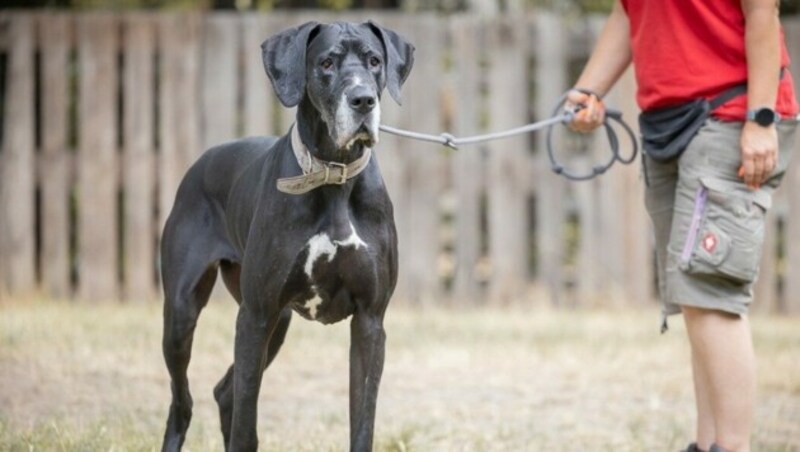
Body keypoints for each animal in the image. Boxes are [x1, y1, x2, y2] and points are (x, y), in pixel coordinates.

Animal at [160, 21, 416, 452]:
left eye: (374, 61)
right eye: (326, 62)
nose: (363, 100)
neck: (333, 174)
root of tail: (201, 161)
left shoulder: (370, 320)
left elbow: (362, 419)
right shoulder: (255, 315)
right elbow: (246, 420)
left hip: (278, 324)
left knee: (224, 392)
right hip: (183, 313)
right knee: (184, 401)